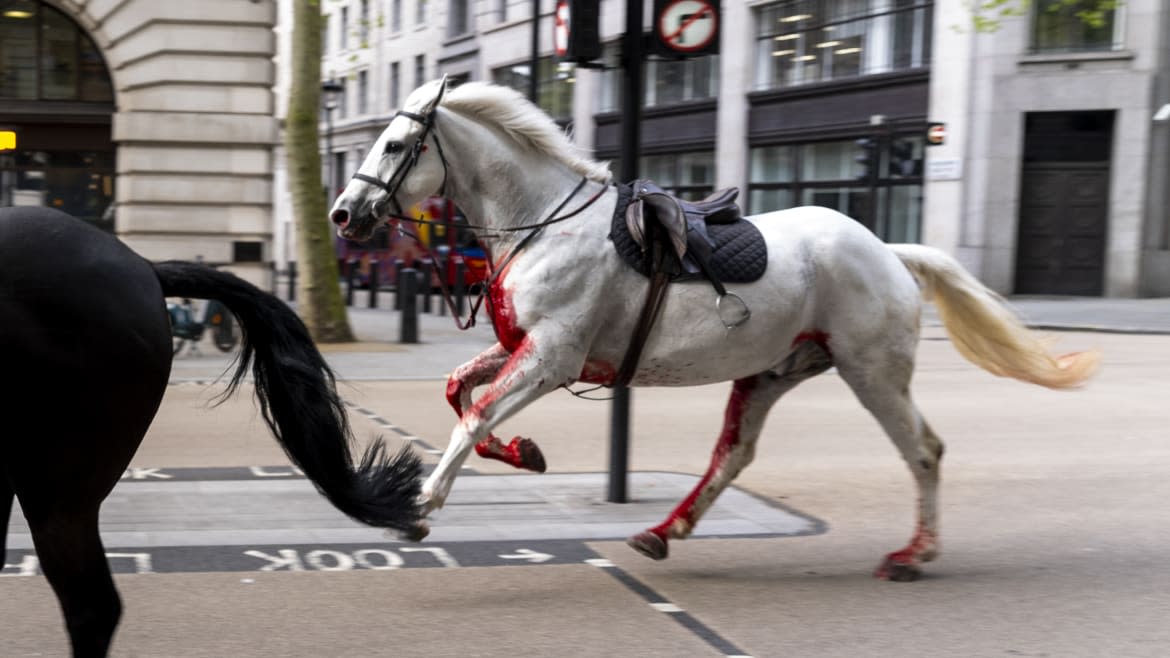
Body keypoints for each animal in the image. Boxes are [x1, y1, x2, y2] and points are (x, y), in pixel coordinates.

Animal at [329, 77, 1095, 578]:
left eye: (395, 145)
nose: (342, 214)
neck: (543, 222)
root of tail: (888, 250)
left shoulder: (551, 357)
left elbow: (476, 414)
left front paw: (421, 505)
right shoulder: (525, 348)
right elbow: (460, 391)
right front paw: (525, 452)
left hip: (872, 372)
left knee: (924, 451)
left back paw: (915, 553)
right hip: (773, 372)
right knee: (734, 455)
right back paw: (665, 532)